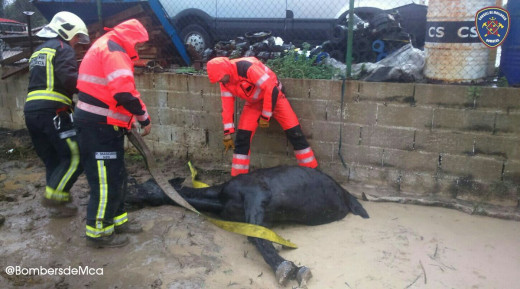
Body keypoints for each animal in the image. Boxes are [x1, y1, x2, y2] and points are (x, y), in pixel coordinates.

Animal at [126, 165, 370, 284]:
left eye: (141, 185)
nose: (125, 198)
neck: (221, 197)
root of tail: (346, 193)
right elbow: (257, 235)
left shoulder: (256, 196)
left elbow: (257, 236)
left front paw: (286, 268)